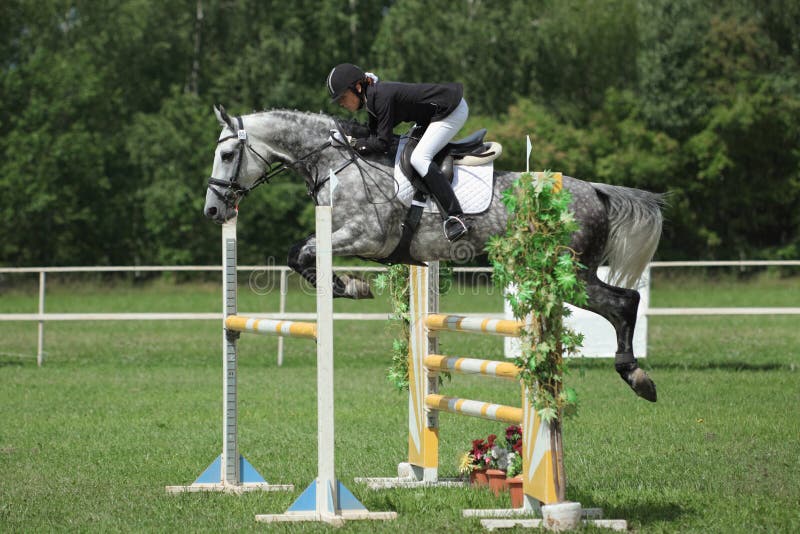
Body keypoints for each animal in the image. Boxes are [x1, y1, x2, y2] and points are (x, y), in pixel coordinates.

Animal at [205, 108, 664, 402]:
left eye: (227, 155)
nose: (213, 211)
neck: (338, 163)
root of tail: (597, 192)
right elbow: (298, 253)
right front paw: (348, 284)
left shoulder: (365, 236)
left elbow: (303, 253)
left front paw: (349, 286)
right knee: (622, 303)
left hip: (569, 272)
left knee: (626, 302)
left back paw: (637, 376)